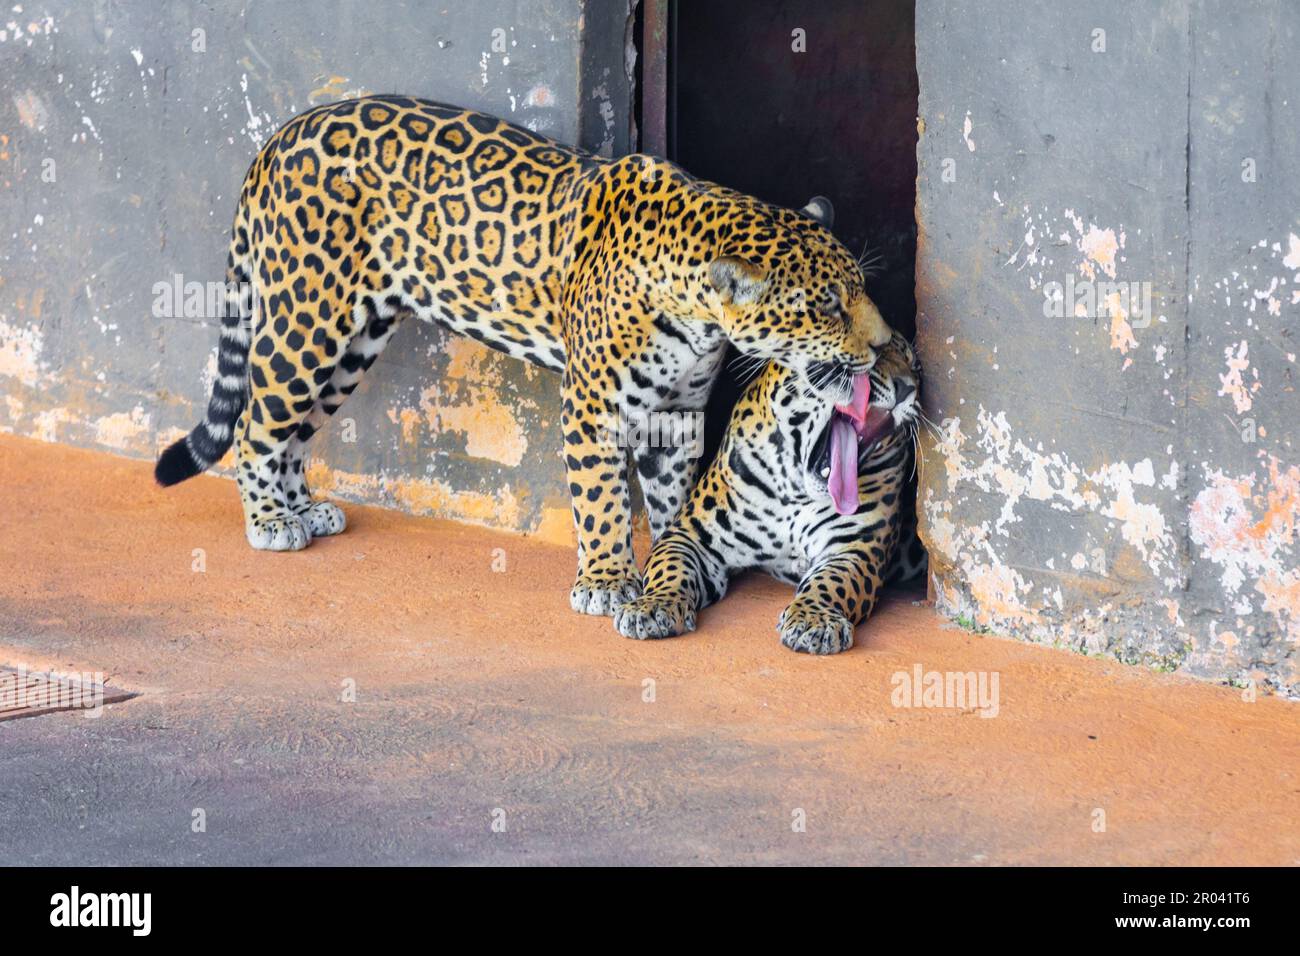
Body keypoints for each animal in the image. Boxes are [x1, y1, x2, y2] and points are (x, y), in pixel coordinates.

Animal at [154, 95, 895, 616]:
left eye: (861, 290)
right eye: (827, 306)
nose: (885, 344)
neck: (697, 313)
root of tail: (282, 135)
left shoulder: (677, 412)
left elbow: (671, 493)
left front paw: (668, 558)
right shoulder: (594, 406)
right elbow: (602, 501)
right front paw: (607, 582)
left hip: (354, 340)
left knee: (294, 432)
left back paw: (305, 509)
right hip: (310, 321)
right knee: (256, 424)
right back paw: (272, 522)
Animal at [613, 329, 923, 654]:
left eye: (916, 368)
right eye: (874, 356)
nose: (907, 388)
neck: (798, 491)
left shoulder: (853, 550)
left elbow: (830, 582)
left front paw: (813, 620)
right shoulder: (690, 533)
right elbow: (670, 568)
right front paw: (651, 606)